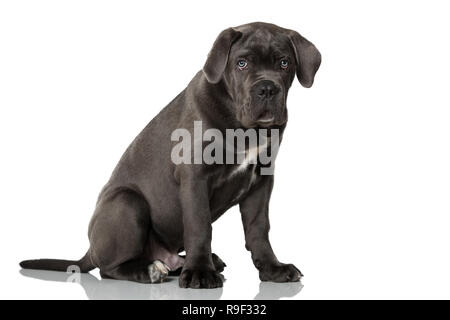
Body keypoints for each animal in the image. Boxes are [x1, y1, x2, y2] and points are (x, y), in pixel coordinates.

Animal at [21, 21, 322, 288]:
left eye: (284, 63)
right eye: (242, 63)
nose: (267, 88)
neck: (242, 126)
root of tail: (89, 248)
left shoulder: (261, 180)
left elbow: (259, 228)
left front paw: (273, 269)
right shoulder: (195, 176)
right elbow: (200, 225)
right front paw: (200, 273)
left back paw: (188, 264)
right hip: (127, 203)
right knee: (108, 267)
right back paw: (151, 270)